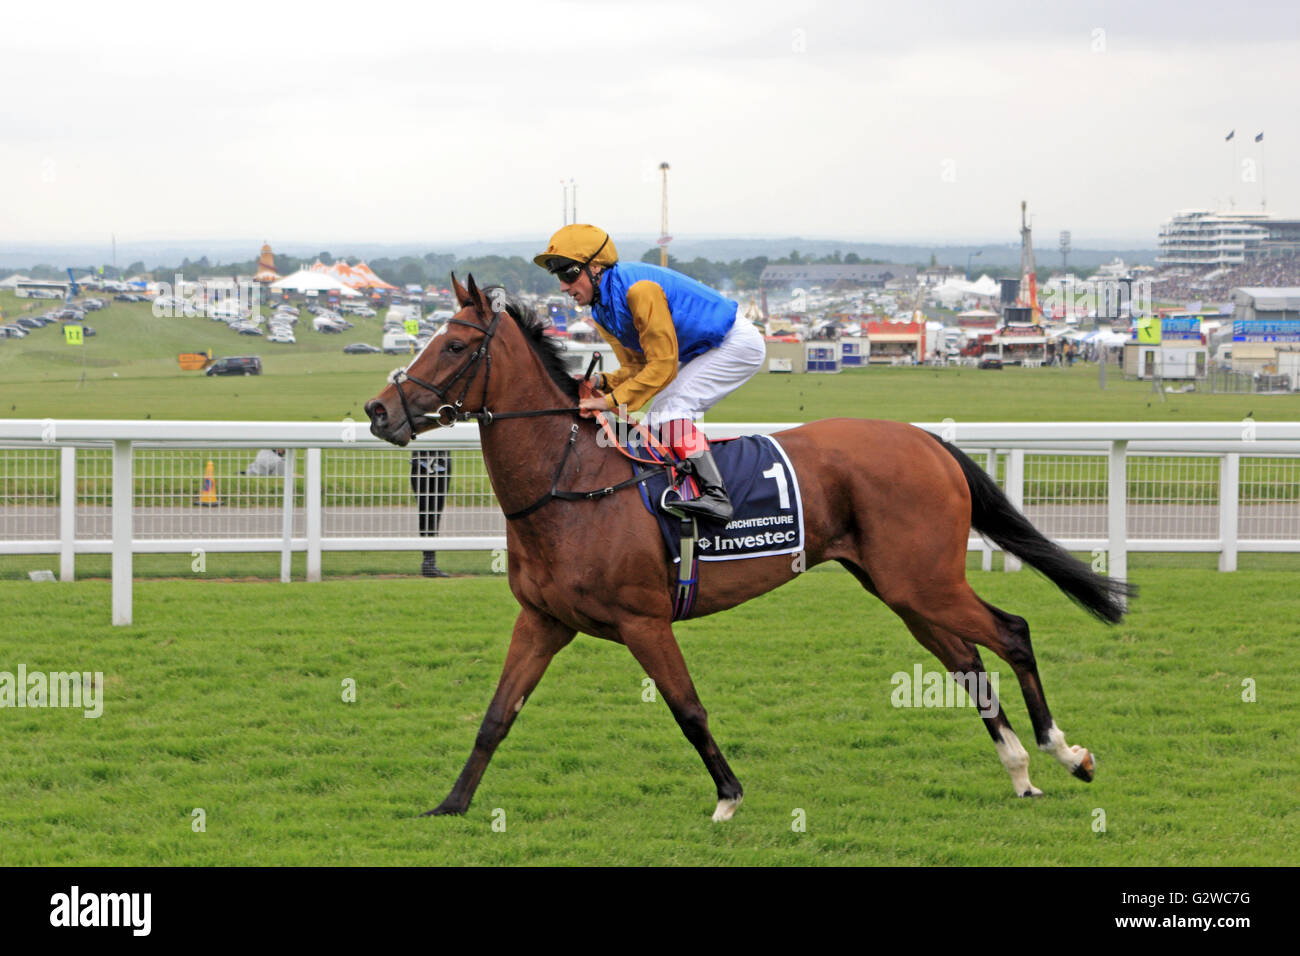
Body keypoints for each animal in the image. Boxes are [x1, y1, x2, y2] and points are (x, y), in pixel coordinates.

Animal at [361, 277, 1133, 822]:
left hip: (925, 583)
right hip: (902, 590)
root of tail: (926, 440)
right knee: (969, 663)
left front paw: (728, 794)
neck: (571, 482)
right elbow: (497, 715)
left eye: (453, 346)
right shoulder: (543, 620)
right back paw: (1022, 774)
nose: (377, 410)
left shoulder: (643, 621)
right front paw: (450, 804)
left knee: (1013, 632)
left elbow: (688, 709)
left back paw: (1067, 755)